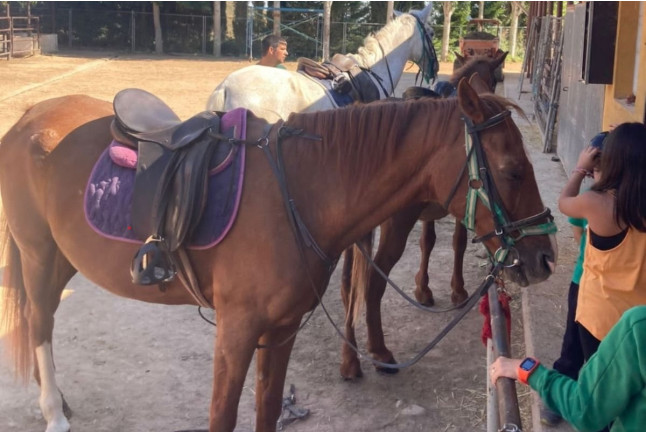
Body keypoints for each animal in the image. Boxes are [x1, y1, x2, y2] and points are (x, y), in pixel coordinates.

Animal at [0, 77, 556, 432]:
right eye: (512, 170)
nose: (545, 258)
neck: (301, 191)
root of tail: (30, 116)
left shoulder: (281, 331)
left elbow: (267, 412)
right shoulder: (236, 331)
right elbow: (223, 417)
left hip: (63, 258)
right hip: (38, 254)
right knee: (41, 323)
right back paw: (53, 413)